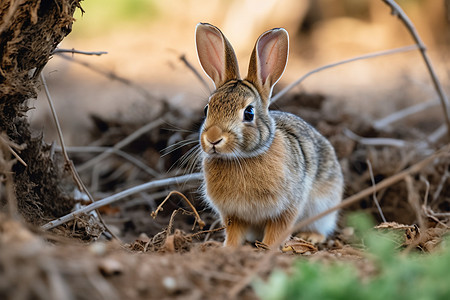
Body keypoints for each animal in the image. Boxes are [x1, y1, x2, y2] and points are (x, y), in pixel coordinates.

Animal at [194, 22, 344, 248]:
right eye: (206, 109)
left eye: (249, 113)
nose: (212, 138)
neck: (242, 158)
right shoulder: (233, 214)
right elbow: (234, 232)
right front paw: (228, 248)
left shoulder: (287, 207)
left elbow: (278, 229)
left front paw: (268, 248)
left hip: (324, 206)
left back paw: (311, 236)